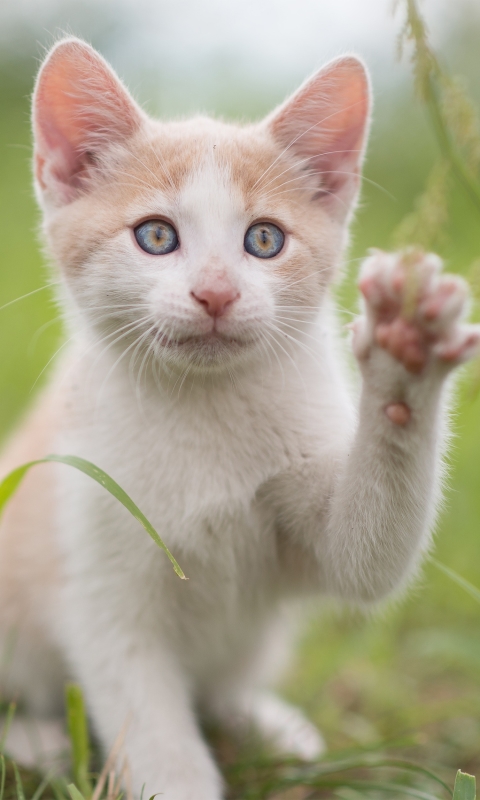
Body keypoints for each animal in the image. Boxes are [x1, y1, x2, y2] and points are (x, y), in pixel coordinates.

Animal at [0, 37, 480, 800]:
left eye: (264, 241)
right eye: (156, 236)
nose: (216, 292)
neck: (208, 411)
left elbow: (368, 560)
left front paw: (406, 346)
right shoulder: (102, 586)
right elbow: (155, 732)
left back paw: (264, 720)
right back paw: (32, 738)